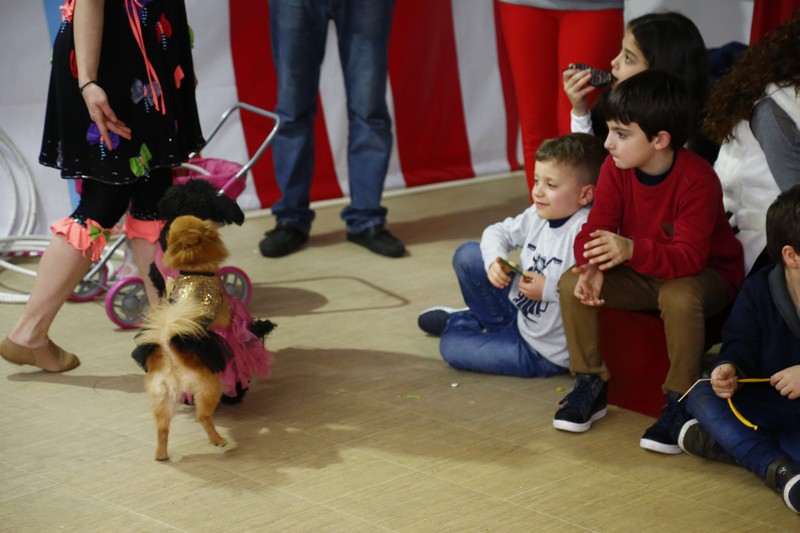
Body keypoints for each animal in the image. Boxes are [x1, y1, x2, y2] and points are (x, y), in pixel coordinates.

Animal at [134, 214, 233, 460]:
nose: (164, 228)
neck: (194, 270)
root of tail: (170, 354)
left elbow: (169, 287)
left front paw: (169, 284)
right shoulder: (221, 309)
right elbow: (225, 315)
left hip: (162, 398)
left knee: (162, 428)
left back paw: (161, 454)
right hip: (208, 387)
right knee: (204, 417)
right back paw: (218, 440)